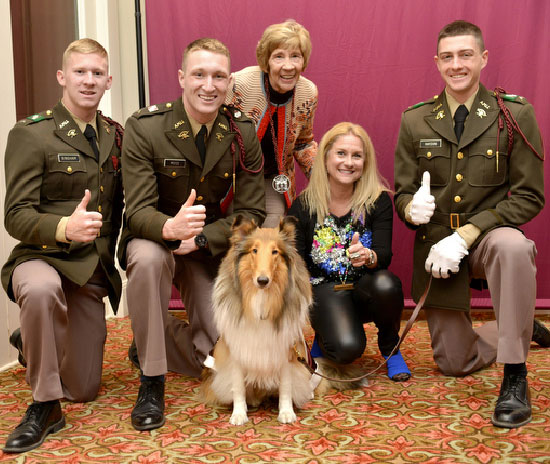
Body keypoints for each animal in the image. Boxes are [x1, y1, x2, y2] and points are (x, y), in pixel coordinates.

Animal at [202, 216, 314, 422]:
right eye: (254, 250)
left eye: (275, 251)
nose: (262, 281)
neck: (263, 299)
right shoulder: (238, 350)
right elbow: (238, 386)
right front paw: (239, 415)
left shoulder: (286, 351)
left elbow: (286, 386)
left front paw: (286, 413)